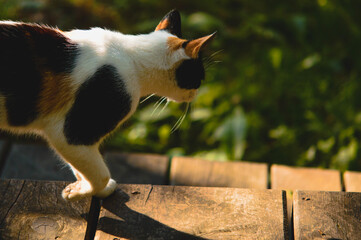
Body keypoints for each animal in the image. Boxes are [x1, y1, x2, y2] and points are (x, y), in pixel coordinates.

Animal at [0, 9, 214, 201]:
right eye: (200, 77)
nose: (196, 93)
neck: (131, 55)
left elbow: (81, 167)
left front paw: (88, 187)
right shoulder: (71, 134)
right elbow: (99, 173)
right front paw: (80, 192)